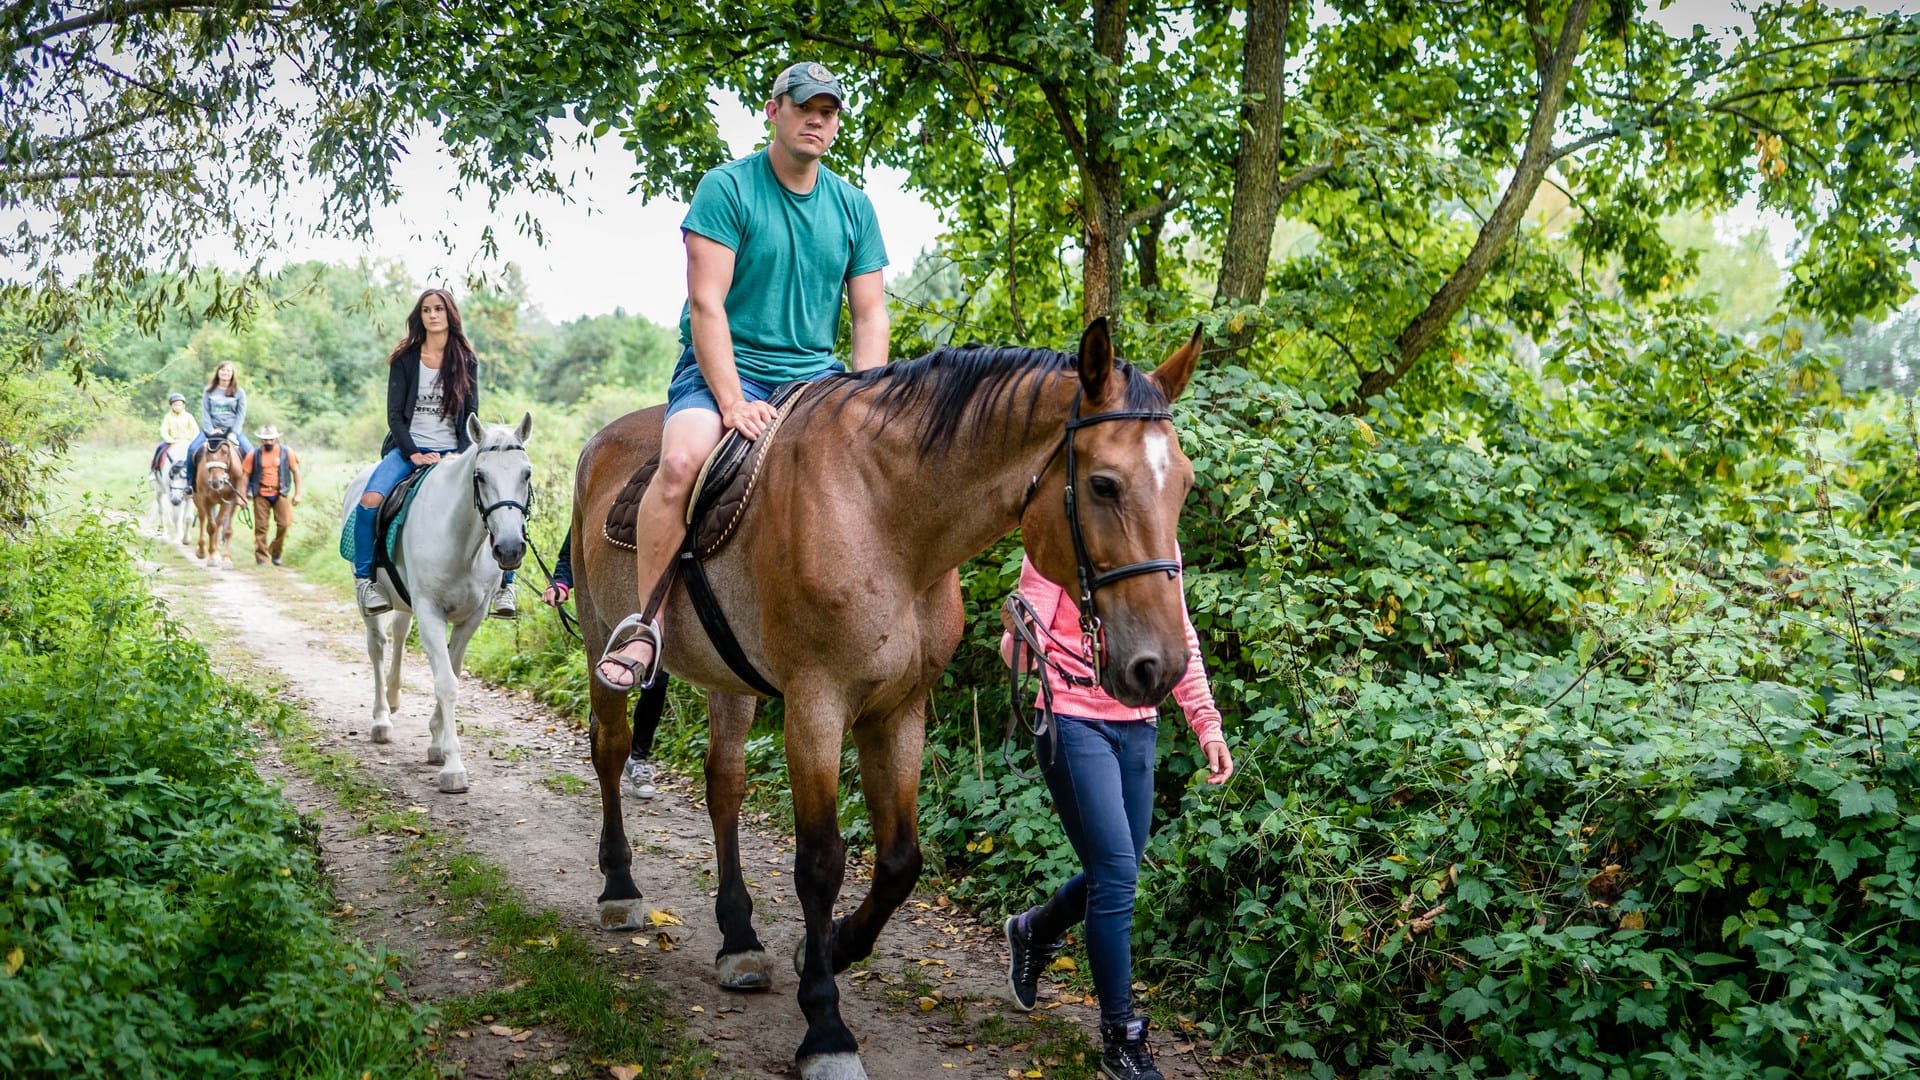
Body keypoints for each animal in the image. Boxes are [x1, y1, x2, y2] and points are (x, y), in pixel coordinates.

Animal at [191, 437, 245, 568]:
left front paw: (226, 559)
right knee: (202, 517)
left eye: (225, 452)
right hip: (198, 499)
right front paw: (211, 558)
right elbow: (211, 527)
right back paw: (202, 550)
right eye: (207, 453)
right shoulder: (206, 499)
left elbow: (225, 529)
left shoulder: (230, 500)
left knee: (219, 523)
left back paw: (216, 552)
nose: (216, 482)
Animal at [340, 415, 533, 794]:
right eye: (480, 476)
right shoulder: (430, 612)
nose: (509, 548)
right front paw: (453, 767)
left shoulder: (471, 618)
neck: (461, 541)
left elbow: (452, 672)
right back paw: (382, 719)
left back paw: (395, 697)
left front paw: (436, 743)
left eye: (526, 473)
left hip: (406, 602)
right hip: (367, 599)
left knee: (400, 634)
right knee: (378, 646)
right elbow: (446, 682)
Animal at [572, 319, 1200, 1080]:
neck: (885, 520)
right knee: (609, 753)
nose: (1161, 665)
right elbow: (820, 863)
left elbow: (901, 860)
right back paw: (620, 890)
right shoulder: (816, 705)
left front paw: (831, 948)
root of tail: (601, 443)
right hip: (603, 644)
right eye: (1105, 484)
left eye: (1184, 485)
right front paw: (825, 1029)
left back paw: (739, 938)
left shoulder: (899, 710)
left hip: (732, 683)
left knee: (723, 785)